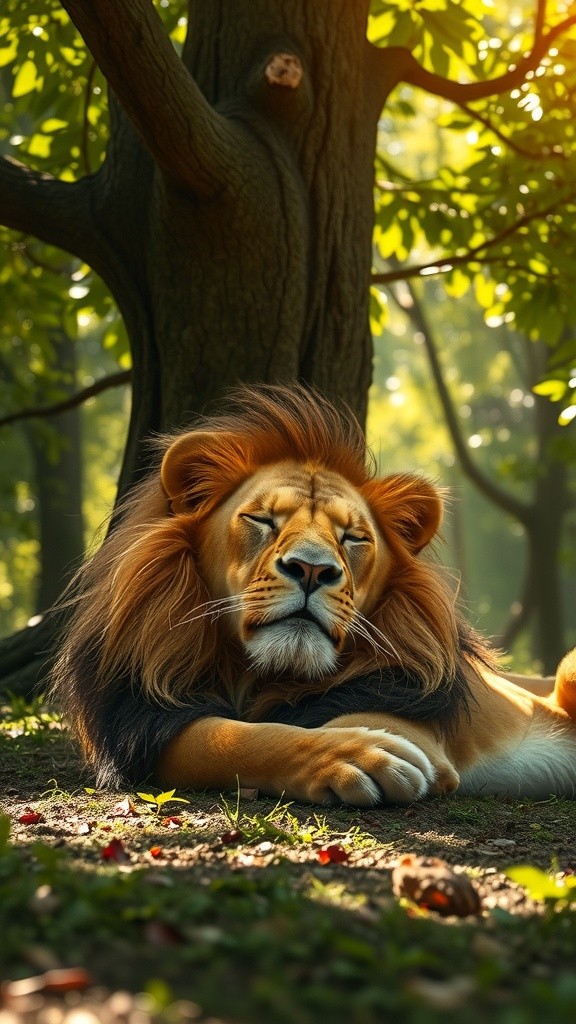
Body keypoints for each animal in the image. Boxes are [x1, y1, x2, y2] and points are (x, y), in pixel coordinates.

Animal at [52, 384, 576, 804]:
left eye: (353, 538)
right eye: (262, 520)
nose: (311, 569)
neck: (255, 676)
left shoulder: (417, 730)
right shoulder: (147, 720)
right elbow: (224, 738)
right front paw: (355, 755)